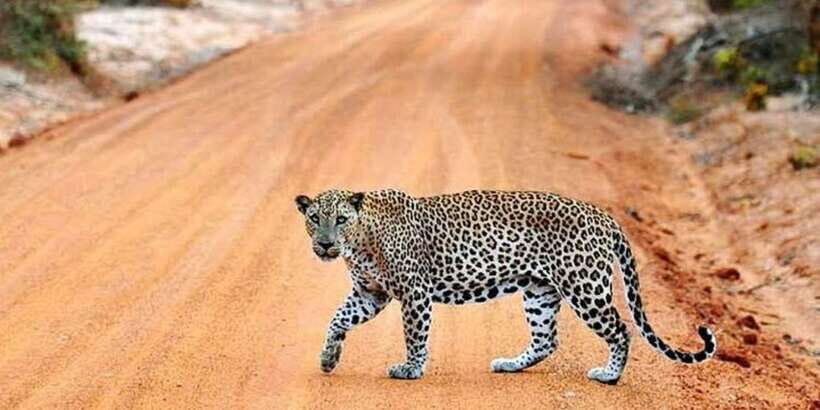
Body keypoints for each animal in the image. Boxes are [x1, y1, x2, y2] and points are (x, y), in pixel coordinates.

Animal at [294, 189, 717, 385]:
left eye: (341, 219)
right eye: (314, 218)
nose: (326, 244)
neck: (361, 241)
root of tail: (605, 216)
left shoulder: (414, 293)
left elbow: (414, 335)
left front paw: (410, 369)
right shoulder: (371, 294)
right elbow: (337, 319)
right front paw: (328, 358)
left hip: (585, 287)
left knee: (621, 329)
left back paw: (609, 375)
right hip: (540, 291)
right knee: (547, 340)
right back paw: (510, 364)